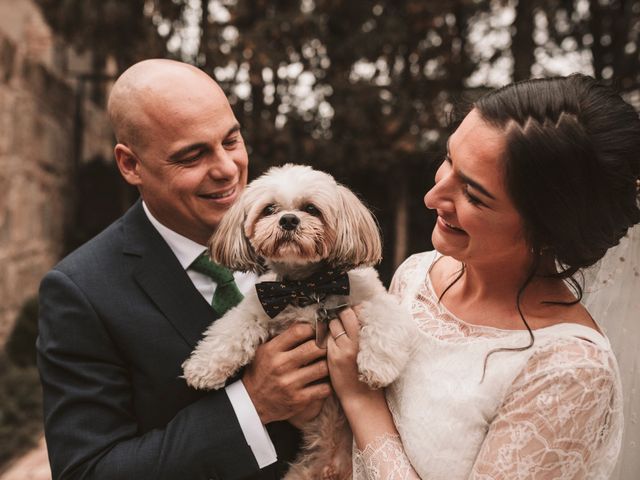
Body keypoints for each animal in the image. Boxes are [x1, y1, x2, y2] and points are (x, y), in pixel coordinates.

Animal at [182, 163, 418, 478]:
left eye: (311, 208)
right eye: (269, 209)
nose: (289, 219)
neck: (307, 287)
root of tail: (332, 467)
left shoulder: (376, 300)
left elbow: (384, 322)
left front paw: (377, 366)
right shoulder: (261, 305)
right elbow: (231, 330)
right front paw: (203, 368)